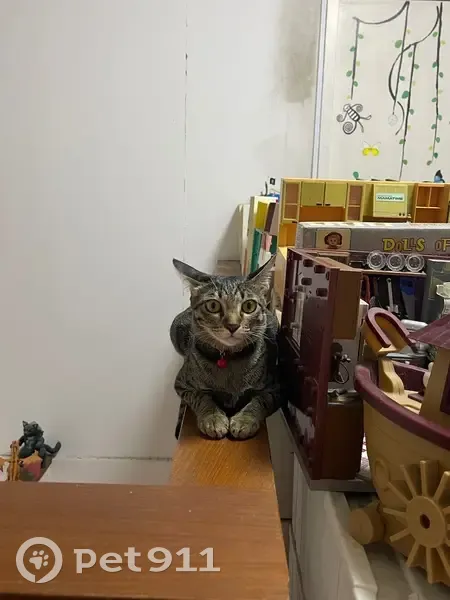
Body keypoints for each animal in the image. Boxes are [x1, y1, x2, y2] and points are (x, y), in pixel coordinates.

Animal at [170, 256, 280, 440]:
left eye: (249, 306)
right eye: (213, 306)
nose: (232, 325)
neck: (229, 360)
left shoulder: (277, 387)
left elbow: (260, 401)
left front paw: (244, 420)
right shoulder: (183, 384)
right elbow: (201, 396)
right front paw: (213, 418)